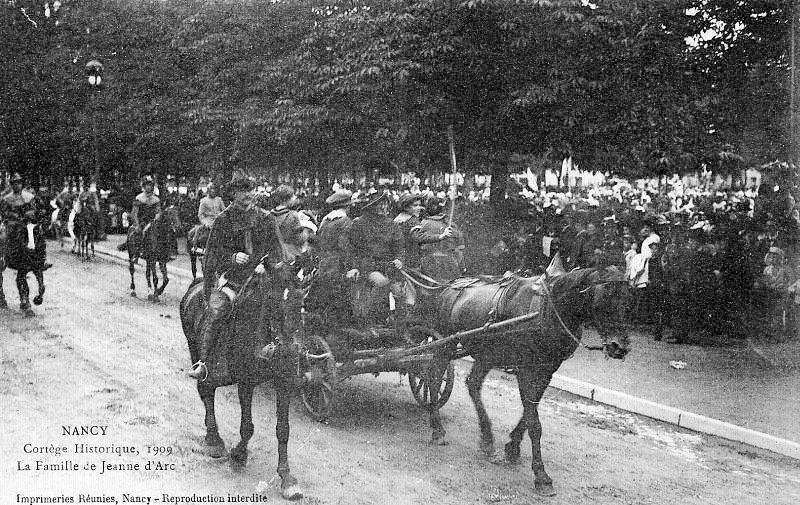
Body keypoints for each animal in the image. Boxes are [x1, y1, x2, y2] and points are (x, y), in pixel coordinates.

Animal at [180, 276, 304, 500]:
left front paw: (287, 478)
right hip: (194, 349)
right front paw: (239, 456)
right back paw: (213, 440)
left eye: (300, 305)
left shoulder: (284, 383)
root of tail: (197, 284)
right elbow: (247, 426)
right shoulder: (246, 382)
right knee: (206, 391)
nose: (290, 351)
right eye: (272, 303)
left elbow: (283, 430)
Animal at [418, 268, 632, 496]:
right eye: (604, 297)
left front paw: (512, 446)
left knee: (472, 384)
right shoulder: (525, 370)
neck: (549, 310)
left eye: (628, 299)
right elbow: (534, 422)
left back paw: (486, 439)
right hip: (445, 342)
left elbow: (530, 412)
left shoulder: (546, 371)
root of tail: (448, 286)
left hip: (487, 353)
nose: (620, 347)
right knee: (433, 377)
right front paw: (541, 475)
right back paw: (437, 429)